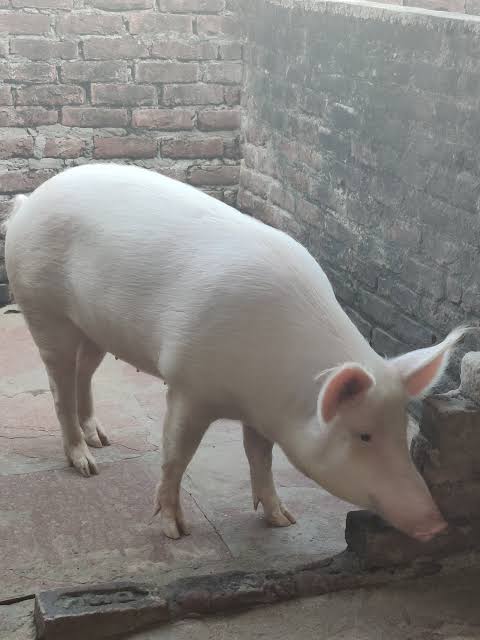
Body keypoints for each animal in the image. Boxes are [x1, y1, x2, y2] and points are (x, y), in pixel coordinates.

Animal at [4, 163, 464, 541]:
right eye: (363, 434)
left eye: (403, 432)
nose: (437, 525)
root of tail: (29, 200)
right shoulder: (189, 384)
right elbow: (176, 454)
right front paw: (175, 531)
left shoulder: (260, 411)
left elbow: (260, 458)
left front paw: (284, 520)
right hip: (42, 308)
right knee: (59, 384)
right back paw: (87, 463)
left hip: (94, 327)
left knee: (84, 372)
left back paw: (101, 440)